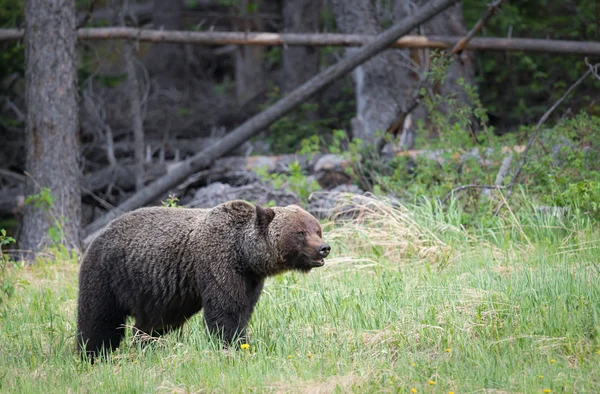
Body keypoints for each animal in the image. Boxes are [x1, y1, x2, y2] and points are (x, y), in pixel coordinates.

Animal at [75, 200, 330, 358]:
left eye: (317, 229)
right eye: (300, 232)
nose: (324, 248)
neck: (244, 255)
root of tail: (99, 234)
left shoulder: (250, 280)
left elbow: (243, 310)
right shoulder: (218, 264)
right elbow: (226, 312)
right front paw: (233, 345)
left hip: (154, 294)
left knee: (153, 324)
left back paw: (147, 346)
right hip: (108, 274)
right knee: (99, 318)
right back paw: (92, 354)